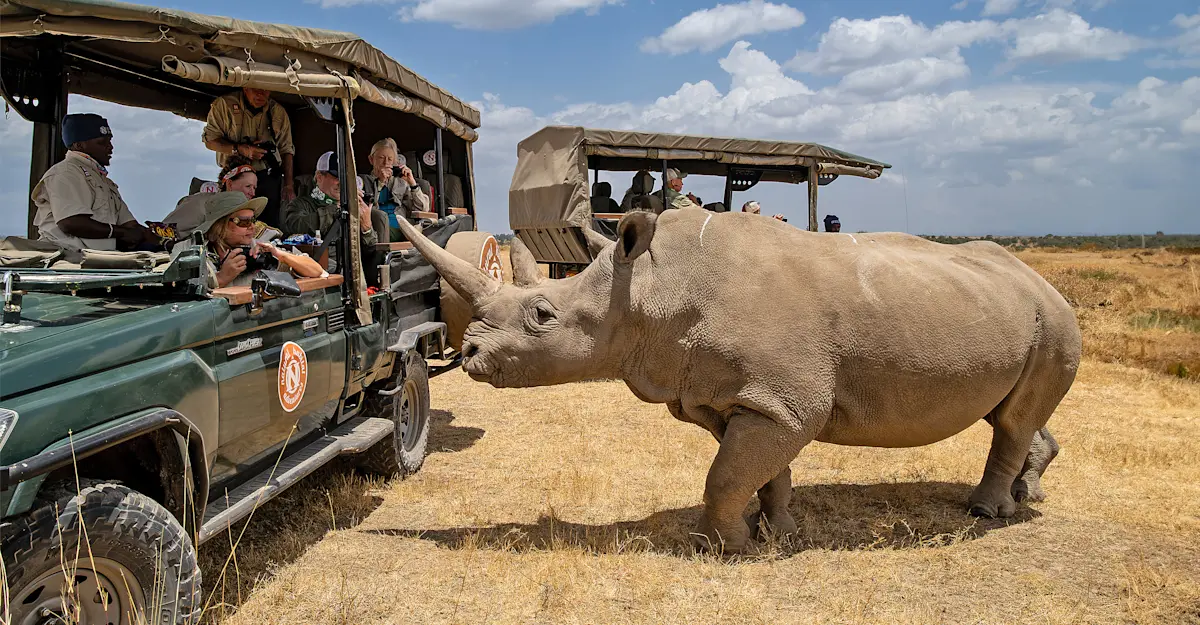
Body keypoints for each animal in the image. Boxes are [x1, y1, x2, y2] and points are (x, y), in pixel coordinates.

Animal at [396, 209, 1081, 554]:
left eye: (543, 316)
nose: (471, 352)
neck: (648, 289)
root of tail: (1043, 279)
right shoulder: (745, 398)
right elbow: (761, 471)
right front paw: (775, 532)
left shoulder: (783, 402)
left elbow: (725, 474)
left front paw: (724, 548)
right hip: (1011, 311)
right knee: (1014, 414)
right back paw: (1029, 494)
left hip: (1053, 319)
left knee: (1013, 419)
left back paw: (986, 513)